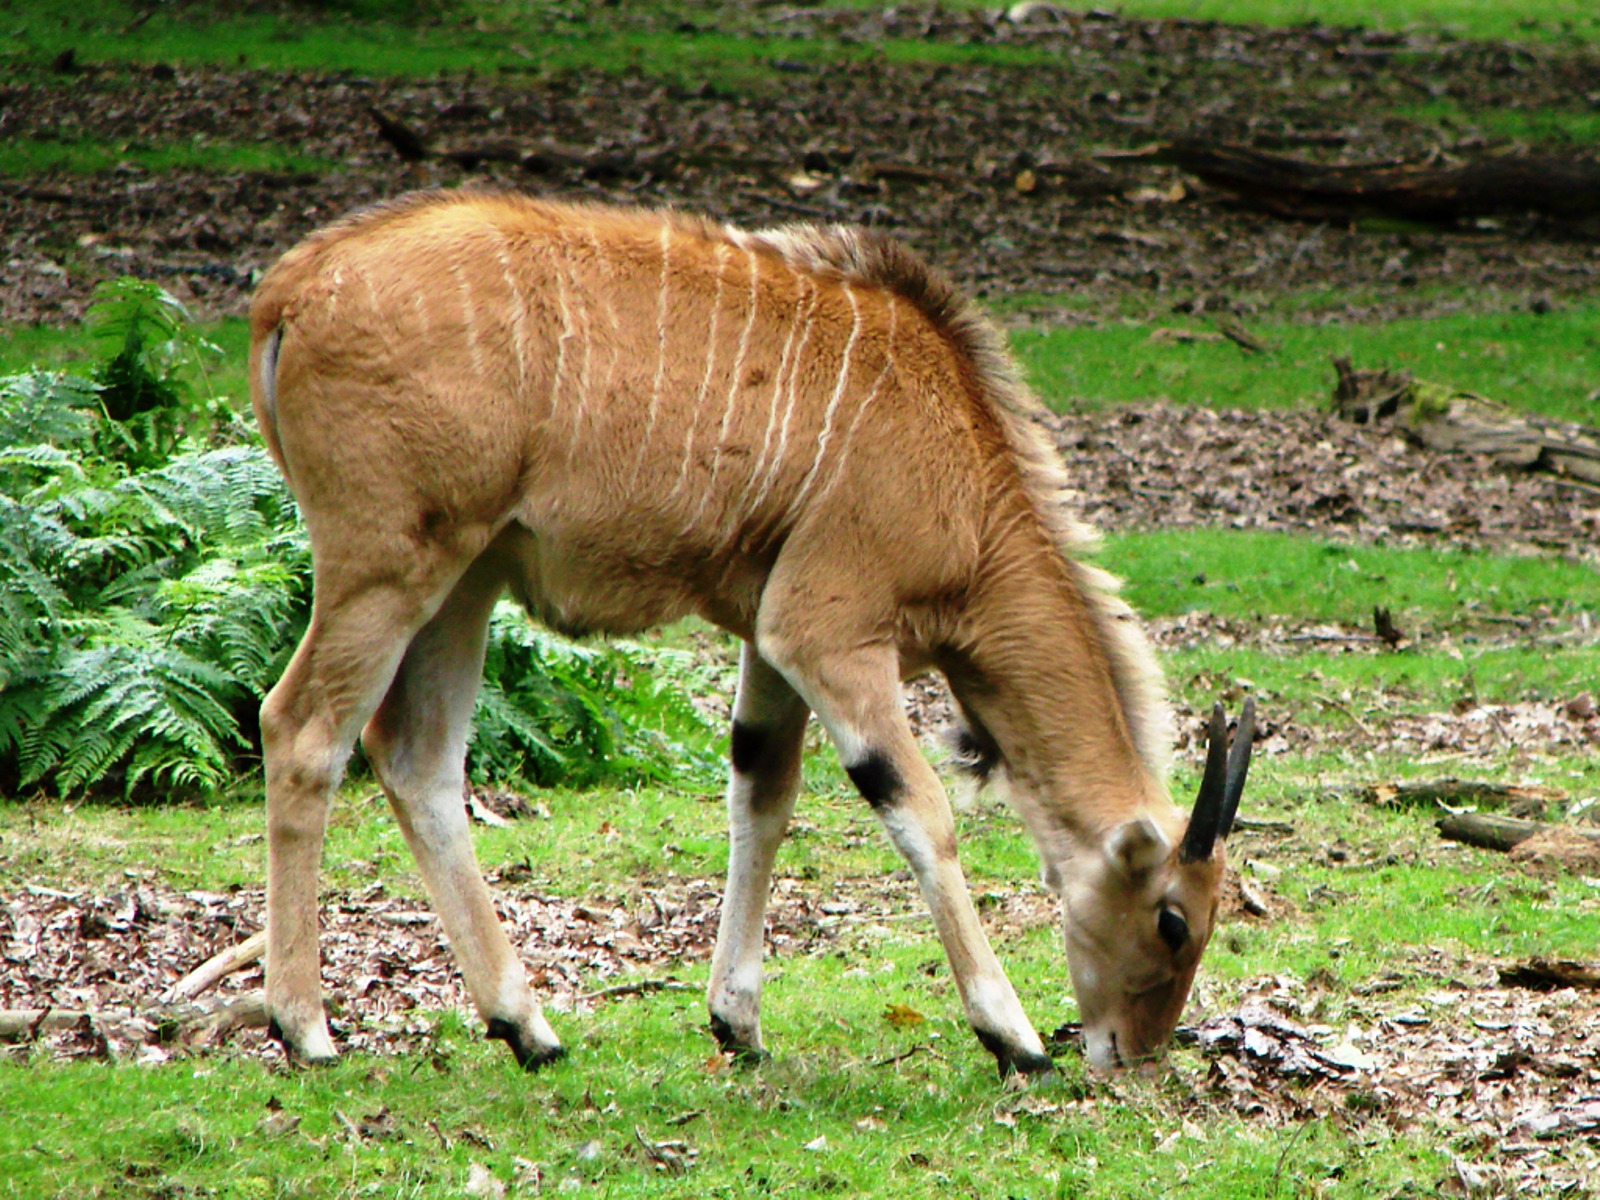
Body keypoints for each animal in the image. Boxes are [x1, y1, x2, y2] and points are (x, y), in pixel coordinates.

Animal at [247, 189, 1255, 1078]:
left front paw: (738, 1022)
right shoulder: (826, 631)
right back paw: (306, 1030)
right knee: (302, 731)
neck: (964, 472)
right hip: (386, 566)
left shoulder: (772, 642)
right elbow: (919, 809)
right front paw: (1012, 1036)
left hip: (467, 576)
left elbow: (761, 791)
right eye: (1173, 920)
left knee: (417, 758)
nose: (1134, 1054)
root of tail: (287, 292)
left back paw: (526, 1026)